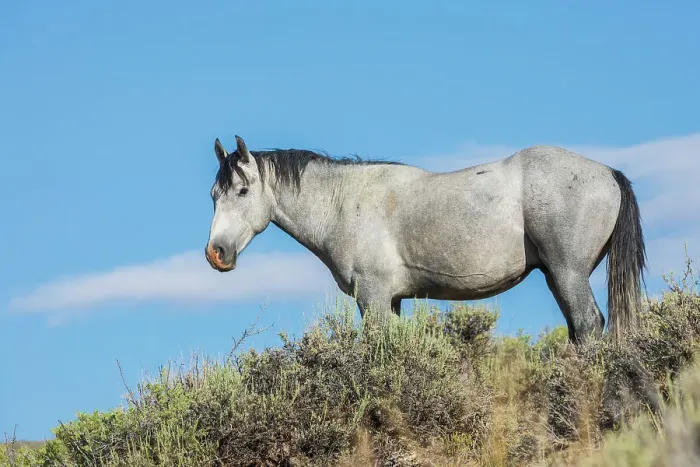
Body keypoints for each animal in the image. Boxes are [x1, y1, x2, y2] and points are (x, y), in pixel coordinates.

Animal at [204, 135, 646, 344]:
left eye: (242, 191)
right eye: (213, 195)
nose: (216, 253)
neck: (343, 203)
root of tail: (608, 173)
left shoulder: (374, 297)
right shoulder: (392, 300)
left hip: (569, 273)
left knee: (587, 324)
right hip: (557, 276)